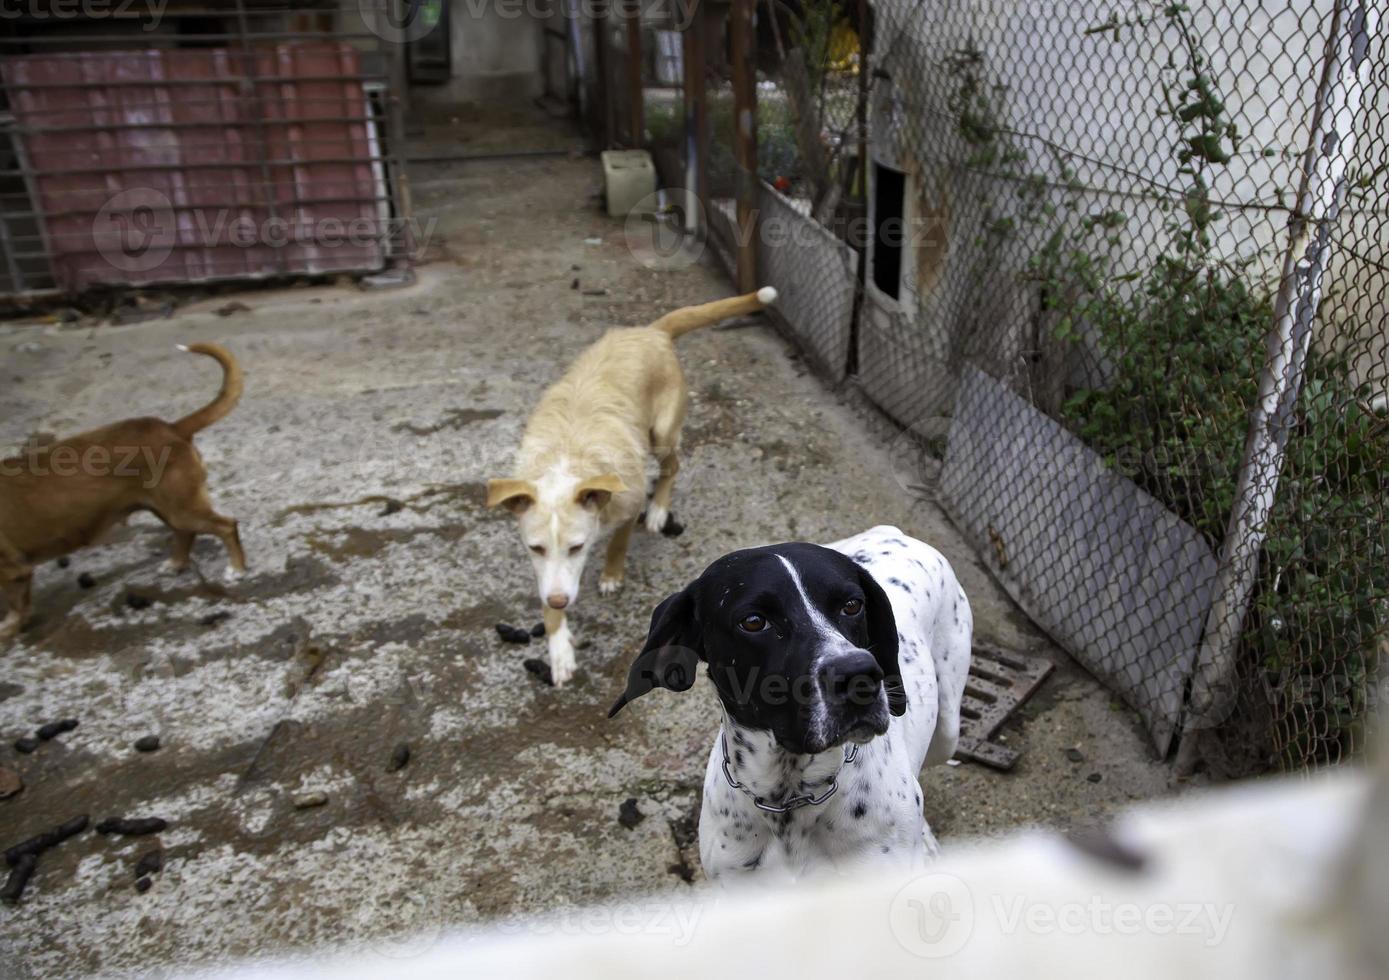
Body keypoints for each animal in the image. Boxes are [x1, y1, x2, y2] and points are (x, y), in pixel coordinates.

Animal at [1, 340, 245, 644]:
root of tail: (171, 428)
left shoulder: (13, 572)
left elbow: (15, 606)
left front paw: (8, 629)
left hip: (182, 509)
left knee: (225, 526)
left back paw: (236, 569)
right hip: (166, 507)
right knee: (185, 533)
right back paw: (176, 564)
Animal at [488, 285, 777, 682]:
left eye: (578, 547)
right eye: (536, 548)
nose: (560, 600)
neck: (568, 457)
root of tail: (651, 331)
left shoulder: (627, 503)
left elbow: (618, 543)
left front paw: (611, 574)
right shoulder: (545, 570)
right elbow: (548, 596)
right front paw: (559, 648)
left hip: (663, 434)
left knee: (673, 466)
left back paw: (658, 510)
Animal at [613, 527, 972, 877]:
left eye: (852, 605)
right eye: (754, 621)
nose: (859, 675)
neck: (789, 799)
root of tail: (894, 532)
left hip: (947, 733)